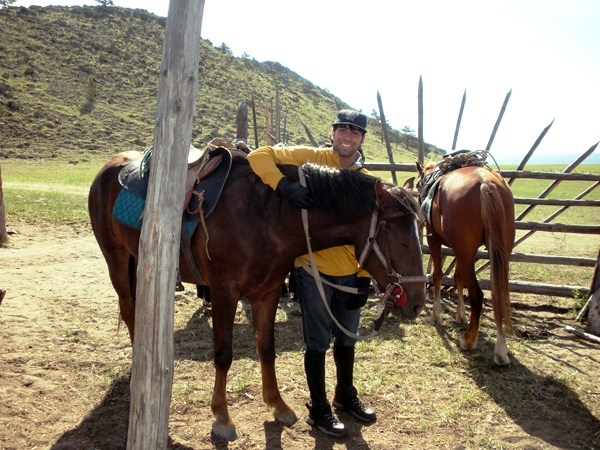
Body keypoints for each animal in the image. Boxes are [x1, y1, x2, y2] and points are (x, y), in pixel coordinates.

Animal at [89, 149, 426, 442]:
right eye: (399, 236)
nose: (417, 303)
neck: (266, 218)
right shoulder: (224, 293)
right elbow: (223, 355)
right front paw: (222, 418)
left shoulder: (268, 292)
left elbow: (266, 348)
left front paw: (278, 406)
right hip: (117, 261)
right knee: (130, 310)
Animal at [412, 158, 516, 366]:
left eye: (419, 185)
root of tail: (486, 183)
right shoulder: (462, 251)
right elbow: (458, 276)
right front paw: (461, 314)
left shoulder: (435, 239)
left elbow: (438, 275)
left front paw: (436, 314)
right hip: (496, 251)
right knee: (498, 293)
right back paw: (501, 350)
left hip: (464, 251)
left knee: (477, 294)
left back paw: (469, 340)